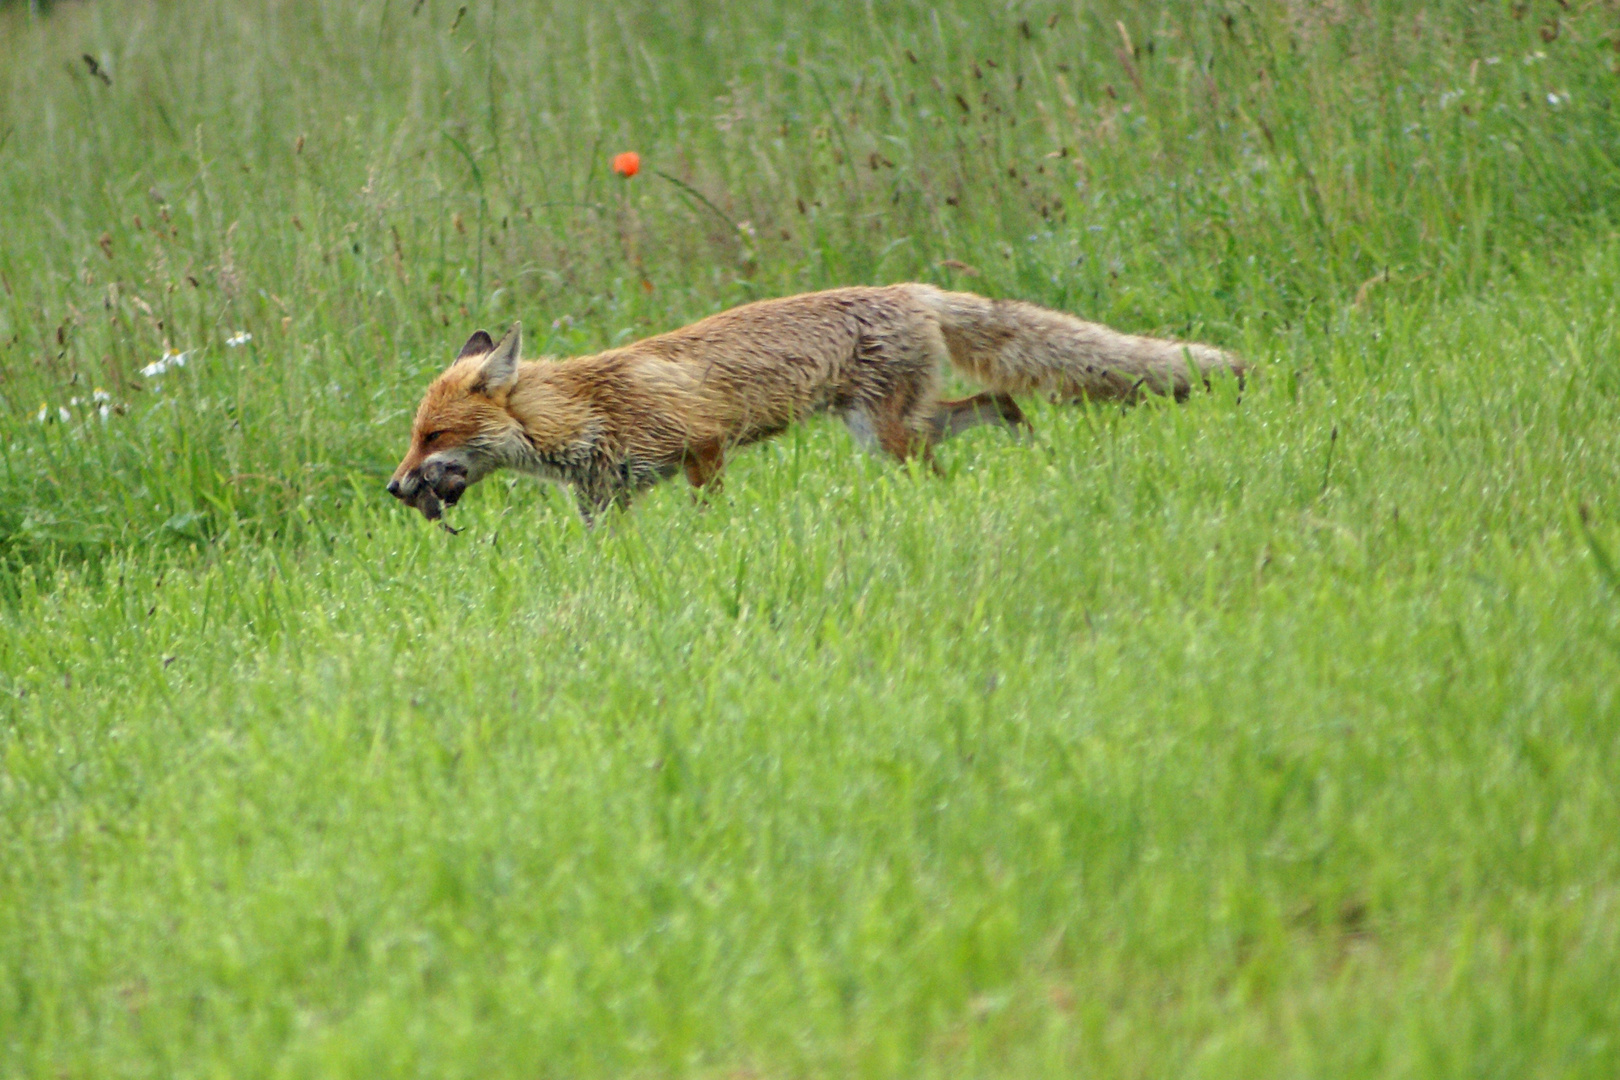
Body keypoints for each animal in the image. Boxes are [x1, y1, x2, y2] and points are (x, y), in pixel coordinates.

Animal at [388, 284, 1237, 524]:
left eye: (433, 435)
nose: (395, 488)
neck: (584, 410)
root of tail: (915, 289)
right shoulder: (607, 502)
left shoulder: (703, 446)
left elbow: (708, 516)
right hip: (903, 425)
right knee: (999, 399)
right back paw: (1041, 459)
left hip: (886, 435)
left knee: (965, 437)